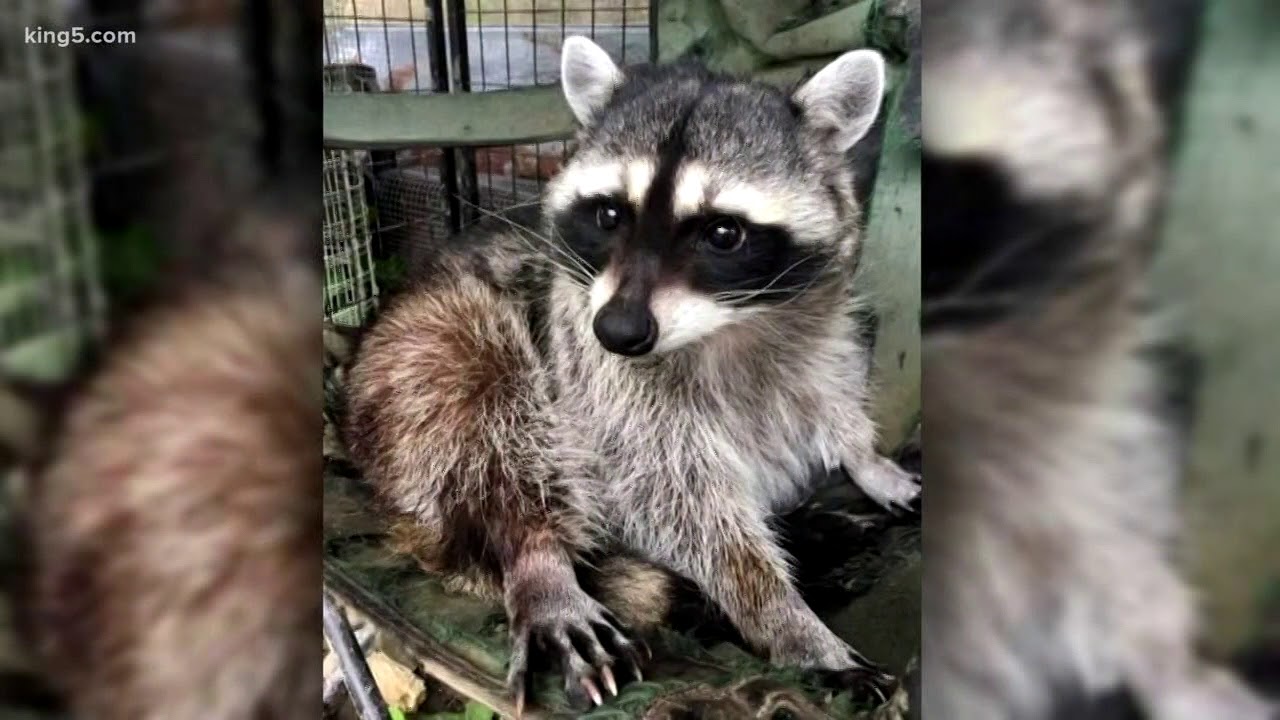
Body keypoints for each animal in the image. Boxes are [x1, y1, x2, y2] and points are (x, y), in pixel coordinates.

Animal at [340, 36, 917, 711]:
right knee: (480, 403)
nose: (618, 331)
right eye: (610, 215)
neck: (726, 330)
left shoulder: (814, 322)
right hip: (414, 360)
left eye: (724, 232)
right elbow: (669, 493)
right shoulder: (590, 367)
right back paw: (535, 552)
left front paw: (865, 457)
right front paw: (780, 615)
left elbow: (827, 386)